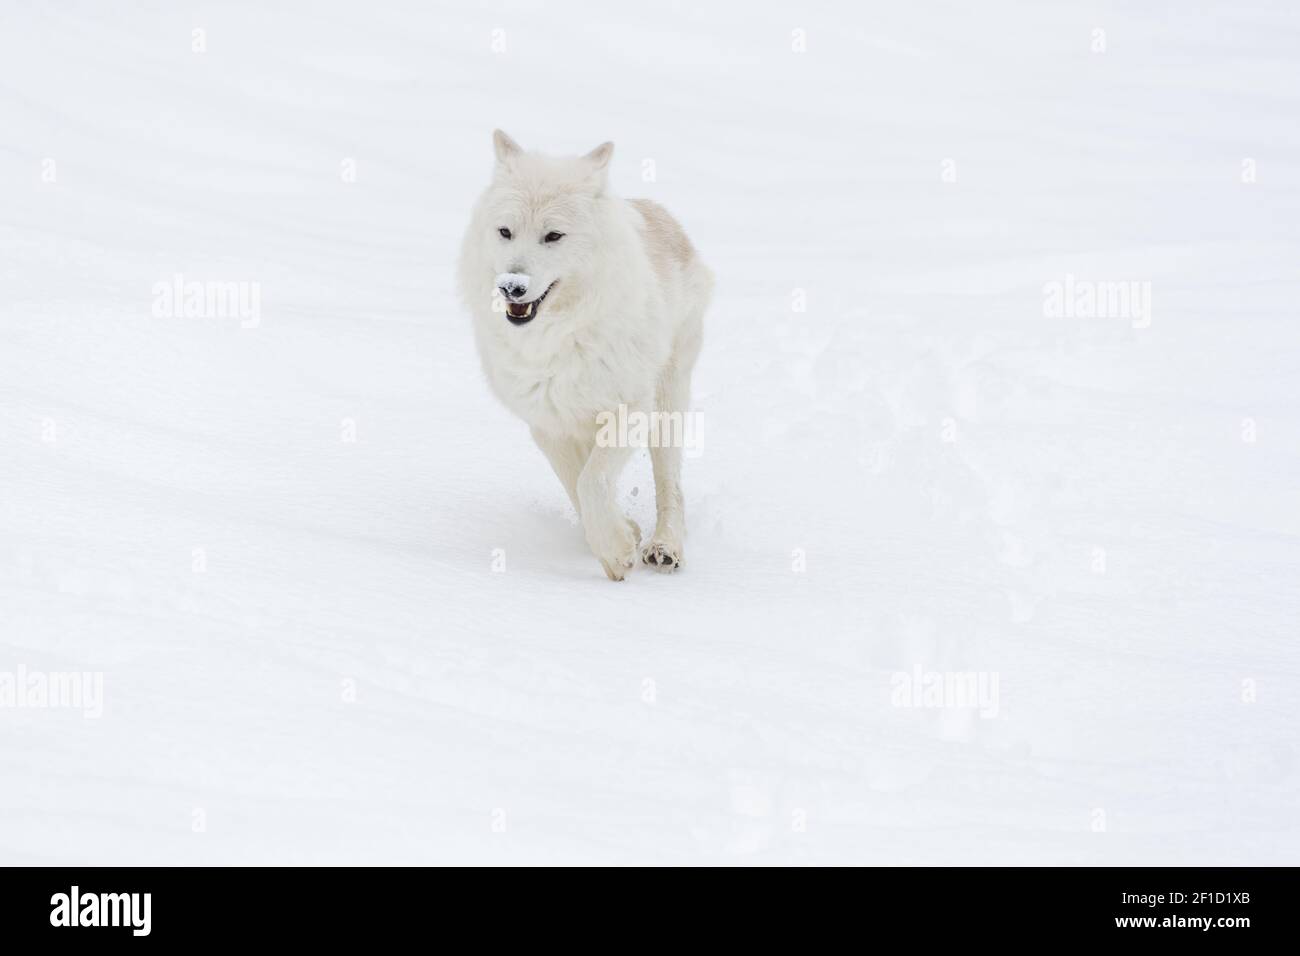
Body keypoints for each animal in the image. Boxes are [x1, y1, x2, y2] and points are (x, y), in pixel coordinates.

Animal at [458, 131, 712, 580]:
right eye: (505, 231)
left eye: (553, 236)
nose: (511, 286)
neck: (559, 338)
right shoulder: (547, 422)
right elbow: (575, 481)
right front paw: (621, 534)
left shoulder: (630, 408)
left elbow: (591, 482)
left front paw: (615, 551)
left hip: (667, 403)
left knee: (670, 483)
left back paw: (665, 547)